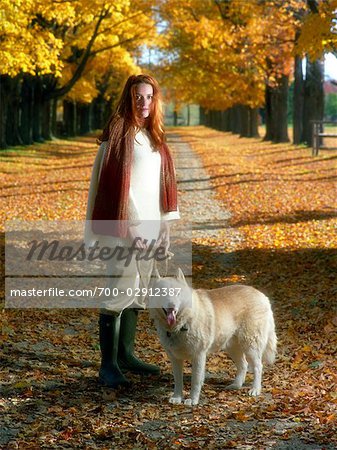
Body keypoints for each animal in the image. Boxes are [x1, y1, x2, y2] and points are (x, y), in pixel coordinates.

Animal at [150, 268, 276, 406]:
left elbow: (195, 380)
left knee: (258, 367)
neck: (183, 323)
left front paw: (193, 399)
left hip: (250, 346)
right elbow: (178, 380)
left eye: (178, 293)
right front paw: (177, 397)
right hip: (232, 347)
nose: (171, 306)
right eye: (162, 292)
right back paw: (236, 385)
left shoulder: (198, 355)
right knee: (243, 365)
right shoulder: (175, 358)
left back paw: (255, 389)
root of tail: (261, 295)